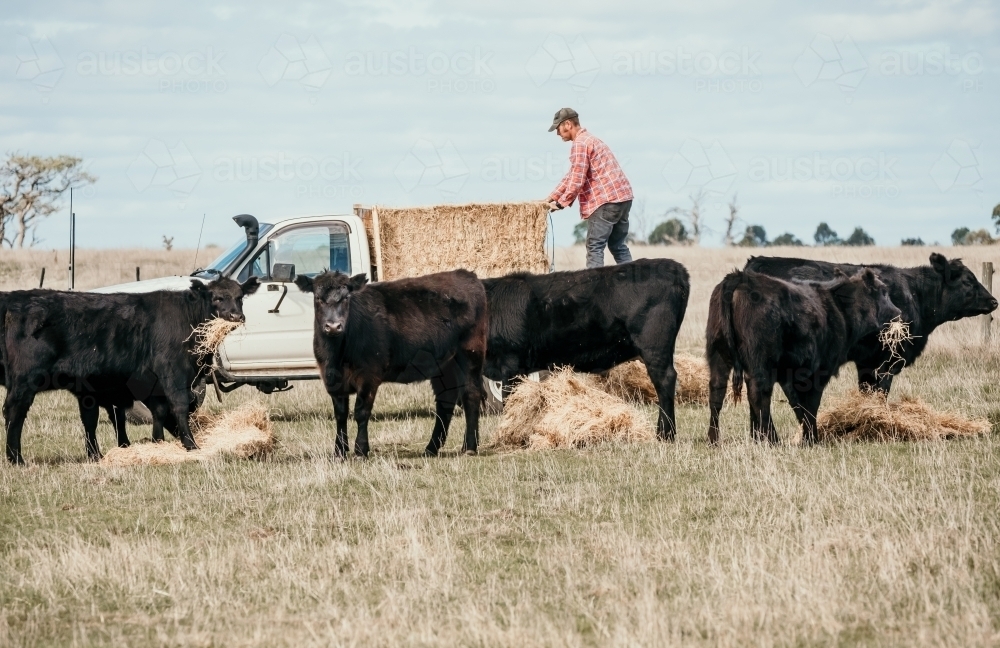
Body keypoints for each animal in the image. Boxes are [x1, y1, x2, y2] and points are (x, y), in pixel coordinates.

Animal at [1, 276, 258, 464]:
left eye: (240, 297)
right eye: (217, 298)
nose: (236, 315)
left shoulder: (131, 386)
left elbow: (150, 412)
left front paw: (154, 443)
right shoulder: (173, 372)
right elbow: (178, 406)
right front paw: (191, 445)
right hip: (25, 381)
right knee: (14, 413)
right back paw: (16, 458)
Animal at [292, 270, 488, 458]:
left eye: (346, 297)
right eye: (318, 298)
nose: (333, 326)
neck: (338, 353)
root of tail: (466, 274)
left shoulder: (369, 375)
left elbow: (361, 412)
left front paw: (360, 450)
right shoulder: (332, 377)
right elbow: (340, 415)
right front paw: (339, 451)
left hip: (469, 354)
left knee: (471, 395)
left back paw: (469, 447)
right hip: (444, 365)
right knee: (445, 401)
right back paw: (431, 448)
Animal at [482, 258, 688, 440]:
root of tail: (674, 267)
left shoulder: (510, 365)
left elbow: (510, 401)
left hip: (654, 347)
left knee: (664, 381)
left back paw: (664, 434)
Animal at [708, 268, 904, 446]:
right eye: (883, 292)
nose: (898, 312)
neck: (839, 307)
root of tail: (740, 277)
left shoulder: (789, 376)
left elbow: (798, 405)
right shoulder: (818, 372)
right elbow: (810, 405)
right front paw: (811, 439)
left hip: (718, 356)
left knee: (717, 392)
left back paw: (716, 439)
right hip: (760, 363)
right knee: (759, 395)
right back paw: (772, 439)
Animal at [748, 254, 996, 392]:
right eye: (968, 281)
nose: (994, 301)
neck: (914, 293)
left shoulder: (866, 361)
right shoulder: (885, 358)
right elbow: (880, 392)